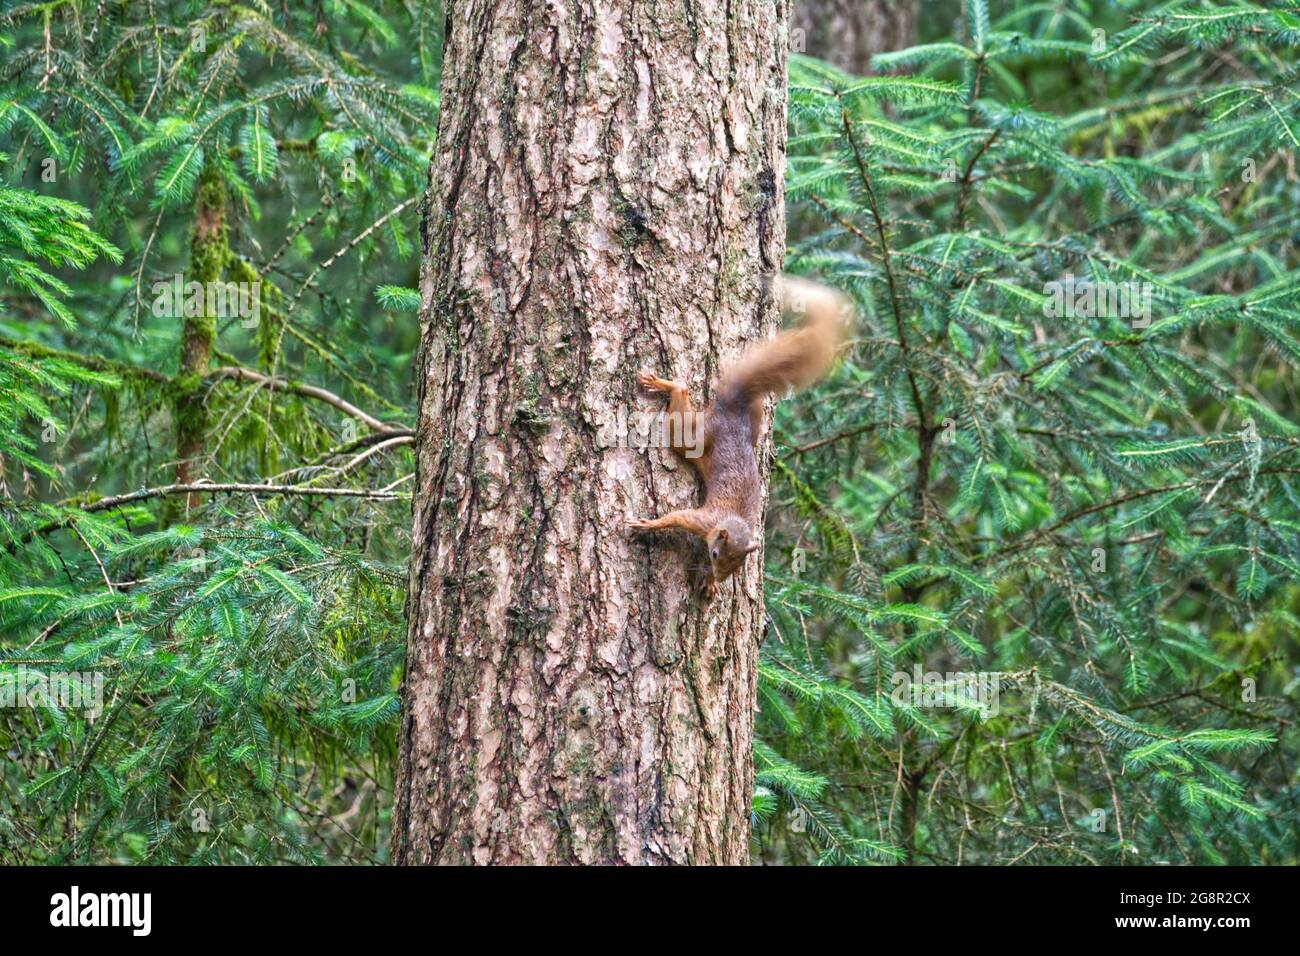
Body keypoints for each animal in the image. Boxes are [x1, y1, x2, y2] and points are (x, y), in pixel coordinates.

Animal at [629, 274, 851, 598]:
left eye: (738, 565)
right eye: (716, 554)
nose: (720, 577)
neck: (731, 524)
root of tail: (734, 409)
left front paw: (709, 583)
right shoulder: (703, 520)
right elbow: (674, 517)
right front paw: (648, 524)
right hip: (694, 438)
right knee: (682, 398)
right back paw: (664, 385)